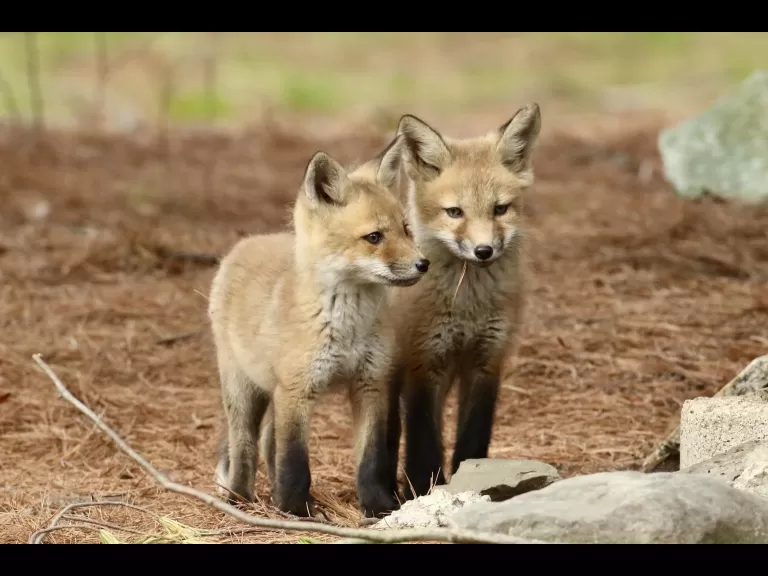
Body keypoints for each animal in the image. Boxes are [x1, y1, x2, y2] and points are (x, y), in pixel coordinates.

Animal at [208, 135, 430, 518]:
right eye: (374, 237)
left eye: (406, 230)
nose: (423, 264)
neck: (347, 328)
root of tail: (247, 242)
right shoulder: (297, 389)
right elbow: (295, 462)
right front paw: (297, 511)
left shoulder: (371, 384)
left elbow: (371, 459)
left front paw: (377, 507)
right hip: (244, 390)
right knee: (245, 446)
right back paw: (240, 499)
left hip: (274, 392)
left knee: (268, 444)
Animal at [385, 104, 542, 498]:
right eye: (455, 212)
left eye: (500, 209)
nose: (484, 251)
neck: (468, 307)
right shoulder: (424, 363)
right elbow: (424, 442)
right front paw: (424, 490)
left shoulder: (487, 361)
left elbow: (473, 437)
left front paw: (473, 481)